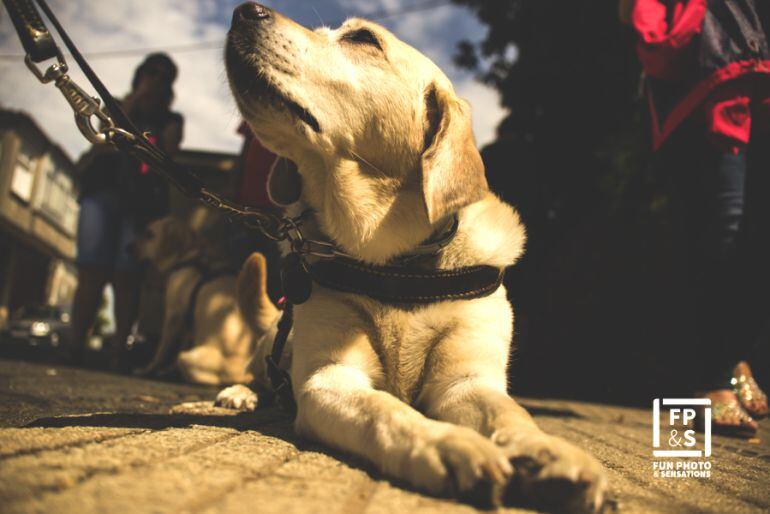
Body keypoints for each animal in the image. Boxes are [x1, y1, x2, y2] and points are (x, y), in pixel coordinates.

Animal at [131, 216, 252, 384]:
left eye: (149, 234)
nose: (127, 248)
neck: (190, 252)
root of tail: (242, 374)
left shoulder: (173, 315)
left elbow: (161, 350)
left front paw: (148, 370)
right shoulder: (188, 321)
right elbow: (181, 344)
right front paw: (165, 370)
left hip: (189, 358)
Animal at [218, 3, 608, 508]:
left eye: (363, 39)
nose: (245, 10)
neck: (393, 260)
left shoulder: (468, 381)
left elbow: (511, 415)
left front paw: (547, 451)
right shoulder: (330, 375)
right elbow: (384, 411)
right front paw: (446, 443)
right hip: (277, 339)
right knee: (257, 372)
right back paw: (239, 393)